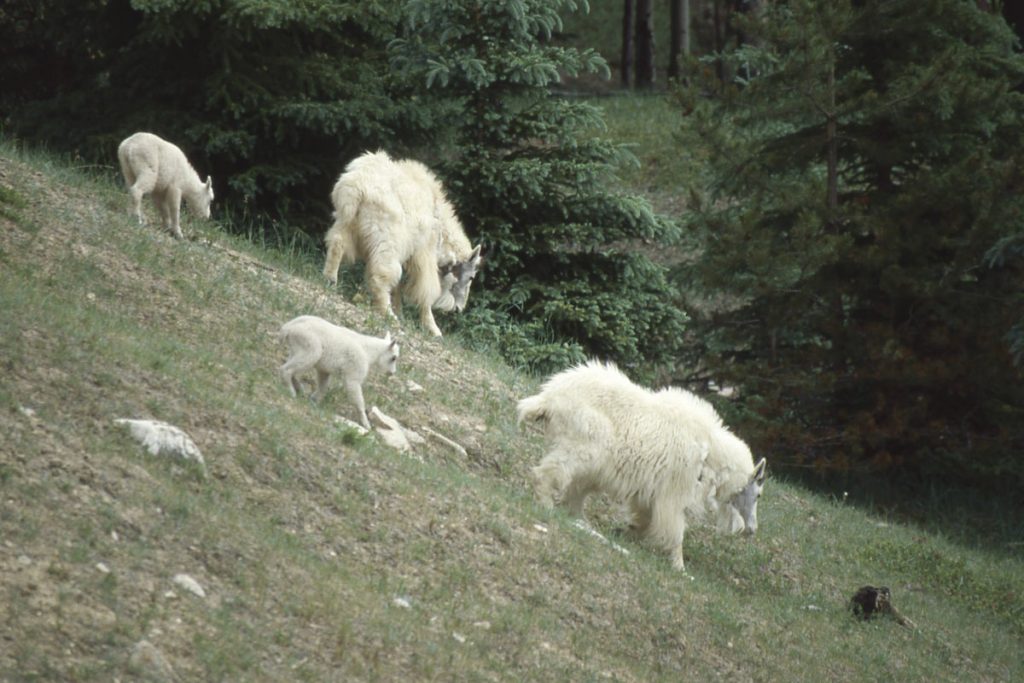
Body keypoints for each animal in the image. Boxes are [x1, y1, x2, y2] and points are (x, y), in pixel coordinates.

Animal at [319, 152, 483, 339]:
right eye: (471, 277)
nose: (458, 309)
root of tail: (357, 184)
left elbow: (397, 287)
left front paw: (400, 311)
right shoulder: (425, 252)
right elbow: (426, 290)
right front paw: (433, 329)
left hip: (347, 220)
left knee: (337, 243)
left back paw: (330, 279)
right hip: (388, 238)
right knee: (381, 274)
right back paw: (388, 314)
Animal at [520, 360, 770, 573]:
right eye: (758, 494)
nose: (752, 529)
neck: (711, 453)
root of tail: (548, 397)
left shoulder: (652, 490)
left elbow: (645, 516)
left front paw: (628, 532)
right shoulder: (675, 487)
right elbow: (674, 527)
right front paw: (679, 567)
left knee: (578, 487)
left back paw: (580, 519)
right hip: (585, 444)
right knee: (553, 472)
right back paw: (547, 504)